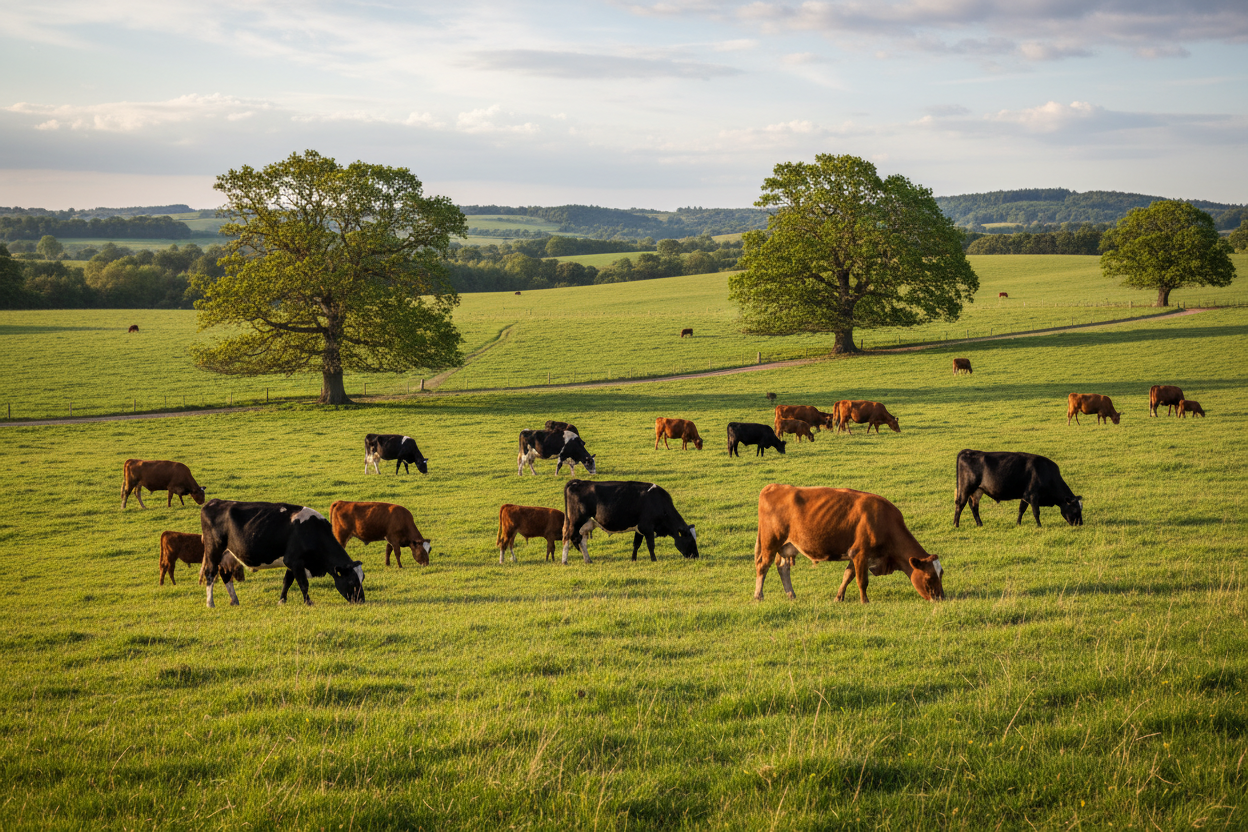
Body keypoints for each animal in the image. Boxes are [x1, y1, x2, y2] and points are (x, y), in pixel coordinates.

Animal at [199, 500, 364, 608]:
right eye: (352, 581)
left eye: (362, 579)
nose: (361, 600)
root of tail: (214, 502)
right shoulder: (294, 560)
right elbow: (303, 583)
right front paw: (308, 602)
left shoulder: (292, 562)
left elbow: (287, 581)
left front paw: (282, 600)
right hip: (214, 549)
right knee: (210, 573)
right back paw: (210, 603)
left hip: (228, 554)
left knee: (225, 574)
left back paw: (234, 600)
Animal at [562, 480, 697, 564]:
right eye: (691, 540)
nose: (696, 556)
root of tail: (578, 482)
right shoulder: (647, 527)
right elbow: (650, 545)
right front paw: (654, 560)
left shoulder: (639, 529)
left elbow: (636, 544)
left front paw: (633, 560)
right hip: (575, 522)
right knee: (568, 537)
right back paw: (565, 561)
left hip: (586, 524)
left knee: (581, 541)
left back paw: (588, 560)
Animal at [753, 485, 944, 604]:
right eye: (929, 578)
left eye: (941, 574)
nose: (941, 598)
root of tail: (775, 486)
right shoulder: (860, 553)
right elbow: (862, 580)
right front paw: (865, 601)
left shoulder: (855, 555)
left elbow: (848, 576)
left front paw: (839, 597)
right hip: (771, 542)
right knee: (763, 566)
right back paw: (758, 596)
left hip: (786, 546)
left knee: (783, 568)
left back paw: (791, 595)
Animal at [954, 450, 1083, 528]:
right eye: (1076, 510)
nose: (1080, 524)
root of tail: (968, 451)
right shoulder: (1033, 496)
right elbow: (1036, 512)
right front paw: (1039, 525)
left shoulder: (1025, 496)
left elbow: (1021, 509)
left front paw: (1018, 524)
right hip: (965, 488)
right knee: (960, 504)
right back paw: (956, 524)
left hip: (977, 490)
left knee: (974, 506)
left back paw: (980, 524)